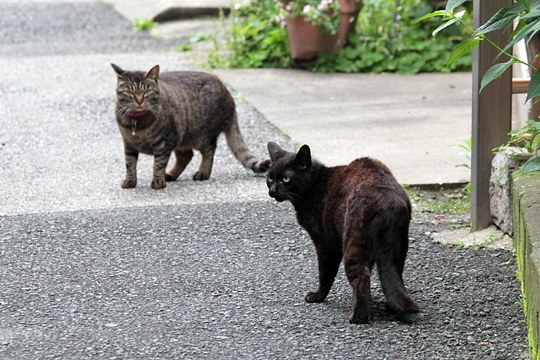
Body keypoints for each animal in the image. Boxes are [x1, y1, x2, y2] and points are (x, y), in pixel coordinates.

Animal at [112, 63, 270, 190]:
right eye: (130, 92)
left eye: (147, 91)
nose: (139, 101)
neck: (137, 124)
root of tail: (228, 94)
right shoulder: (129, 145)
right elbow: (130, 164)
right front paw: (130, 181)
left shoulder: (164, 142)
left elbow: (158, 164)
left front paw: (157, 181)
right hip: (182, 138)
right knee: (186, 156)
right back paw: (171, 175)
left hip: (204, 136)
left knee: (208, 152)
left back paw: (203, 172)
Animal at [264, 141, 418, 324]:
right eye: (270, 178)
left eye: (285, 179)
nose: (272, 191)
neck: (314, 185)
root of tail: (386, 197)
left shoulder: (324, 243)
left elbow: (325, 274)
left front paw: (317, 297)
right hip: (397, 247)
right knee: (392, 276)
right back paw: (392, 307)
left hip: (353, 243)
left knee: (362, 278)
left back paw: (356, 317)